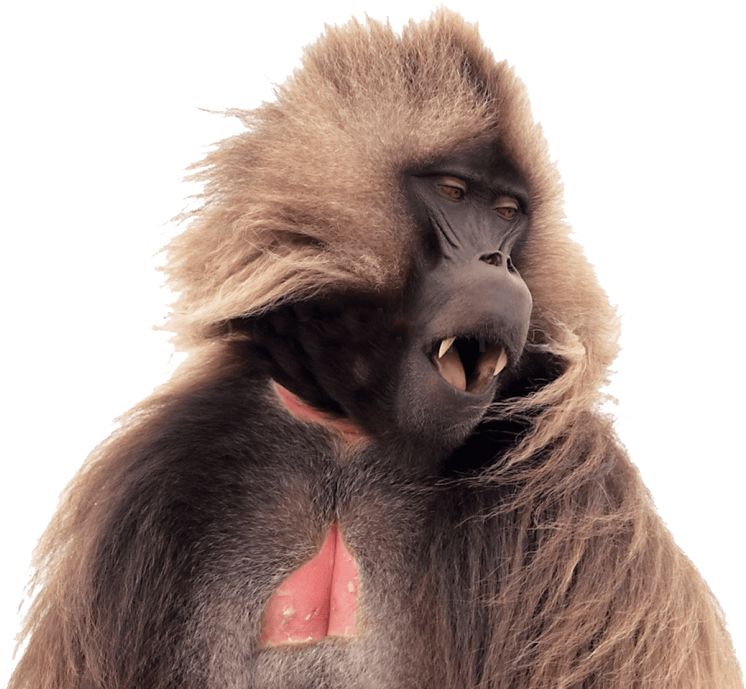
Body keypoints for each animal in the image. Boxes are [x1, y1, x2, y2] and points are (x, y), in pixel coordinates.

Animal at [8, 8, 743, 689]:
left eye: (507, 213)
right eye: (454, 194)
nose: (498, 263)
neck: (352, 433)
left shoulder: (578, 496)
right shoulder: (150, 484)